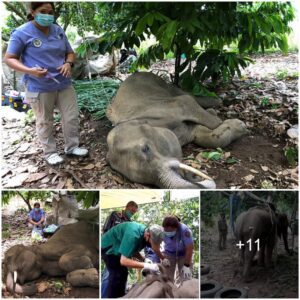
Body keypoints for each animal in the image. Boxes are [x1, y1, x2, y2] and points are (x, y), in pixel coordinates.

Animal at [106, 72, 247, 188]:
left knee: (187, 95)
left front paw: (238, 124)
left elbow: (189, 103)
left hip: (163, 84)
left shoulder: (169, 107)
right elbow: (200, 135)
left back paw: (218, 101)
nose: (194, 176)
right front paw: (237, 126)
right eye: (145, 182)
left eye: (146, 148)